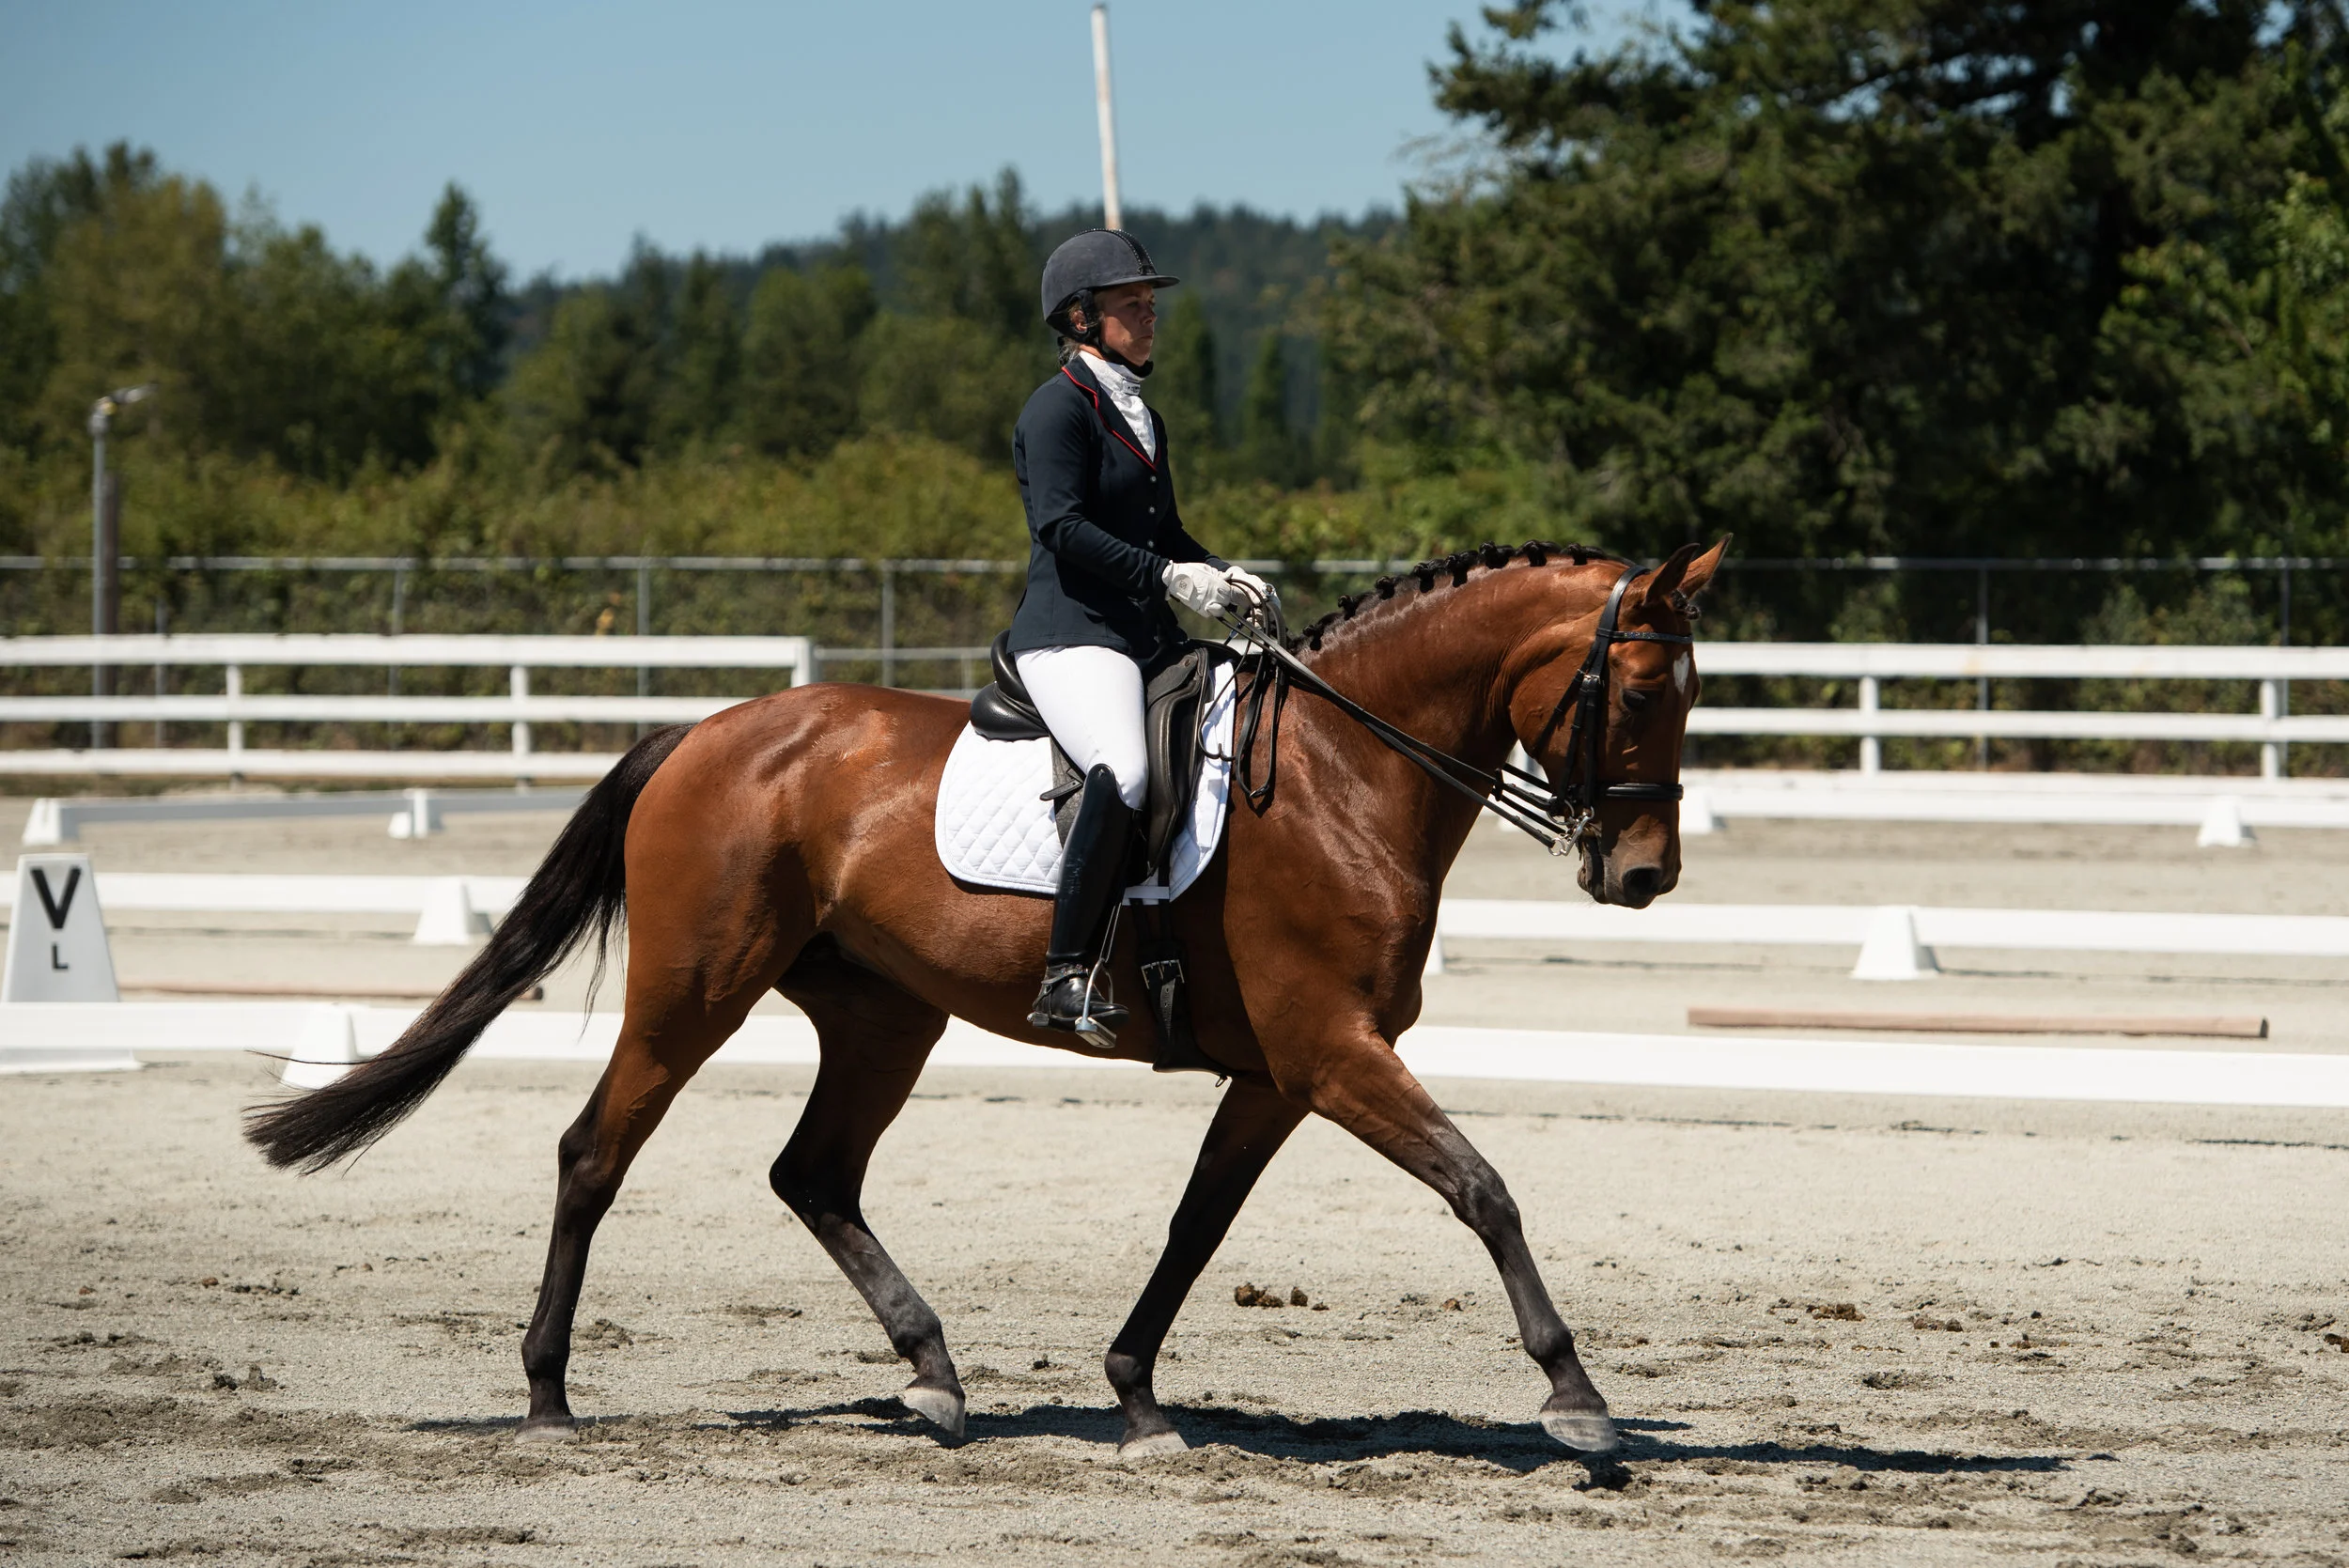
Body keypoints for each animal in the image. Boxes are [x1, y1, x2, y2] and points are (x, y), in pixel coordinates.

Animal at [245, 536, 1727, 1459]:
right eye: (1638, 690)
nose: (1645, 874)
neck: (1341, 775)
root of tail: (702, 733)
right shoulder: (1332, 1052)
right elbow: (1484, 1187)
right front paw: (1577, 1397)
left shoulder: (1277, 1073)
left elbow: (1198, 1225)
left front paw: (1136, 1397)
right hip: (694, 990)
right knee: (595, 1151)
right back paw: (550, 1393)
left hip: (885, 1014)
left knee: (813, 1173)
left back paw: (934, 1374)